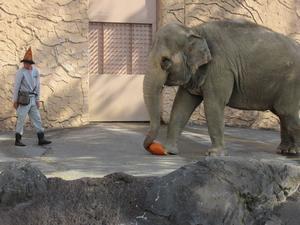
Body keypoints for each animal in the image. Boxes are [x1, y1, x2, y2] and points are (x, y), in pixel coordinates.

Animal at [143, 19, 300, 156]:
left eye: (165, 61)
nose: (152, 147)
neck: (195, 30)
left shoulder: (220, 68)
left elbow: (213, 105)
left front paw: (214, 154)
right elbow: (181, 105)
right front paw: (169, 151)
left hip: (292, 83)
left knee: (287, 112)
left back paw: (293, 152)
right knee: (283, 114)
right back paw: (286, 151)